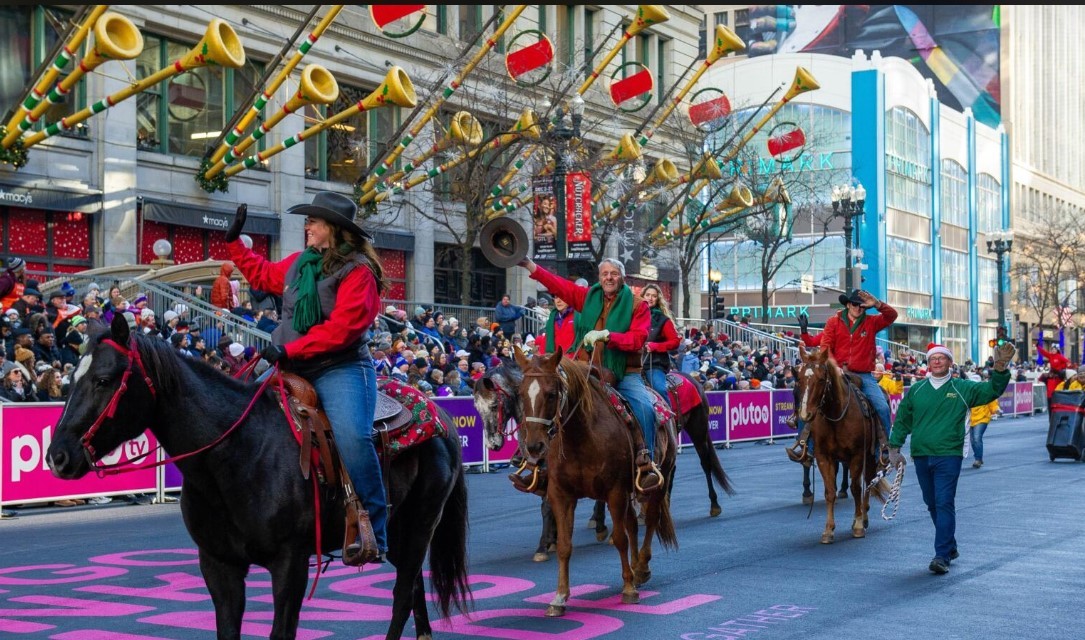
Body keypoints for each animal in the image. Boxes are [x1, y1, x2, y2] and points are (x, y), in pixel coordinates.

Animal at [47, 316, 470, 640]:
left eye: (104, 379)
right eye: (72, 379)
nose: (58, 456)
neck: (236, 454)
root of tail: (440, 417)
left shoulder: (291, 564)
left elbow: (281, 632)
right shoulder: (219, 565)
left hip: (420, 525)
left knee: (402, 596)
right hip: (399, 531)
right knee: (413, 589)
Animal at [512, 349, 672, 620]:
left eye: (551, 394)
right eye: (521, 393)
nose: (534, 447)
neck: (581, 436)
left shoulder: (615, 491)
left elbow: (619, 538)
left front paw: (628, 589)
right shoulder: (561, 494)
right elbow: (565, 546)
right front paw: (559, 597)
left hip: (660, 480)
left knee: (650, 520)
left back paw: (640, 568)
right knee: (633, 525)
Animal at [789, 349, 889, 544]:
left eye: (821, 379)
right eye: (799, 380)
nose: (805, 414)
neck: (836, 415)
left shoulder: (857, 455)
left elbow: (856, 488)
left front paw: (858, 525)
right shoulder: (824, 457)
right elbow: (830, 491)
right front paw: (828, 530)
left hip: (871, 455)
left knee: (868, 482)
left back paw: (864, 517)